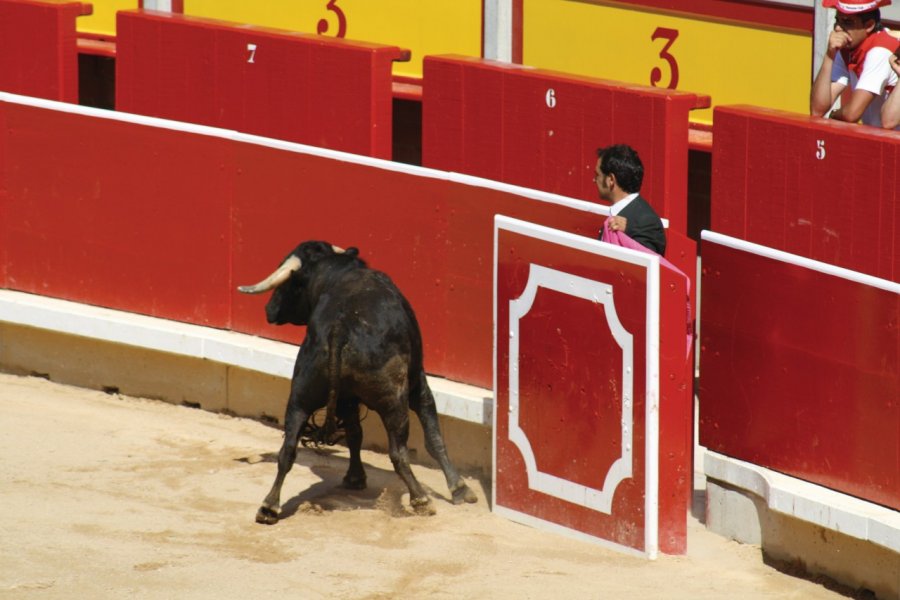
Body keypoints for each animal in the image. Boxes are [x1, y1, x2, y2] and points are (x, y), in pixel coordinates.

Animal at [239, 241, 478, 524]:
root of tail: (339, 328)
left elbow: (354, 434)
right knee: (398, 452)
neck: (335, 273)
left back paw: (268, 507)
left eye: (287, 284)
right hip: (395, 398)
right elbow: (434, 438)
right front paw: (460, 489)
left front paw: (355, 478)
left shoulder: (345, 398)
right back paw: (421, 499)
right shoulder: (418, 381)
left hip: (300, 395)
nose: (268, 310)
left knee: (288, 449)